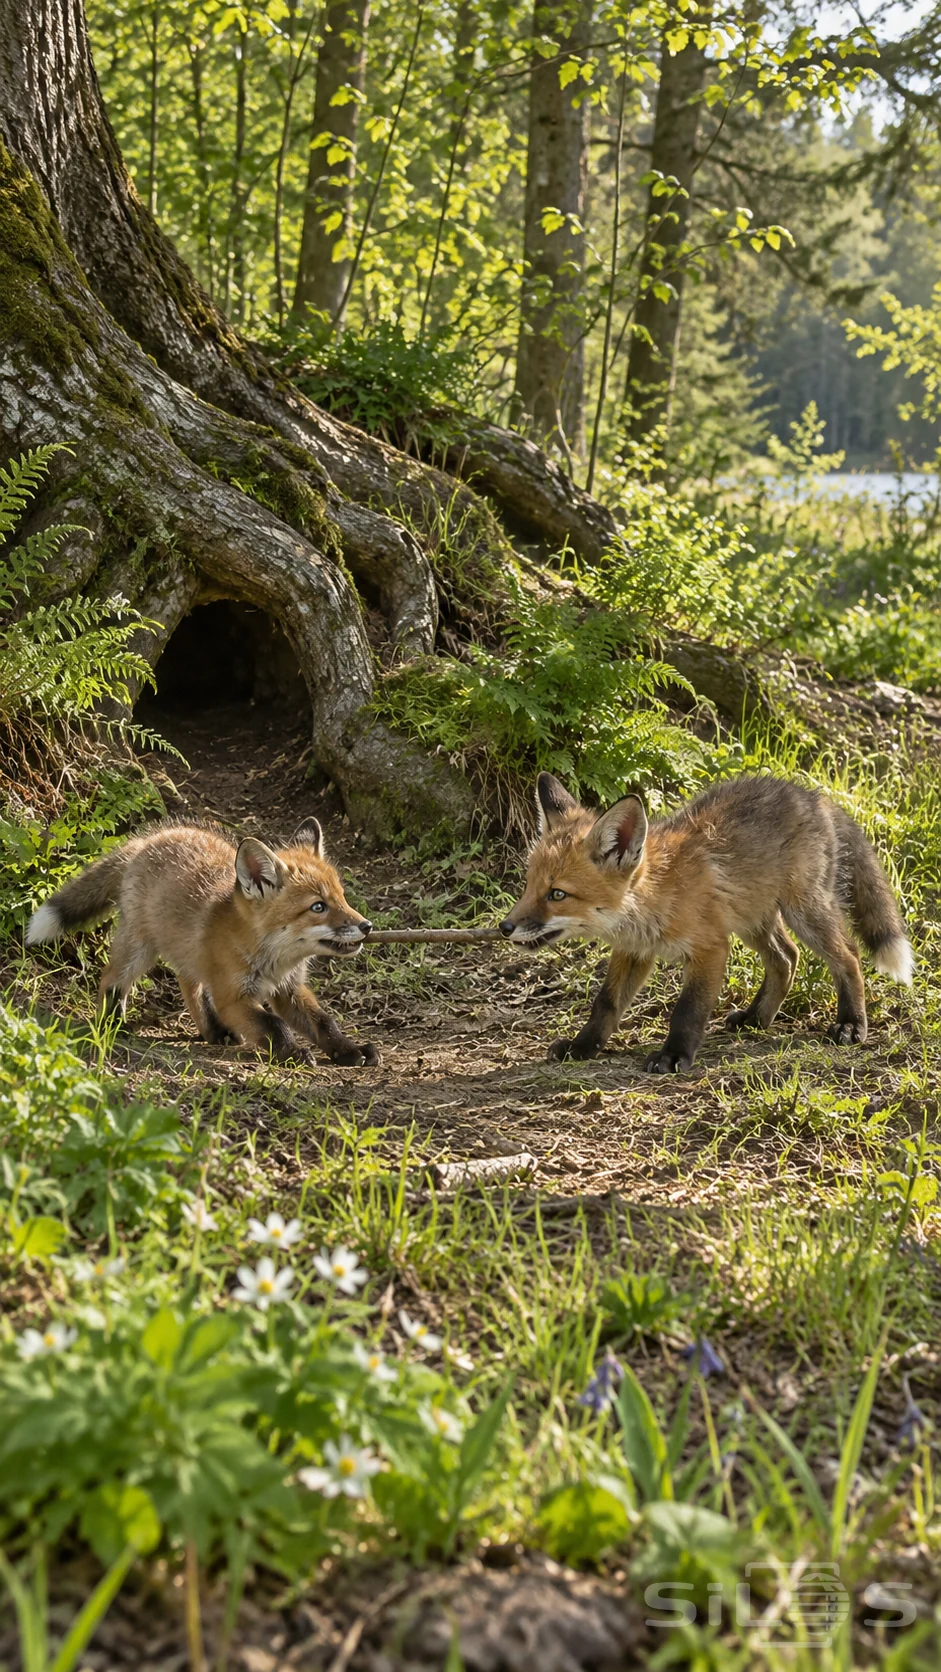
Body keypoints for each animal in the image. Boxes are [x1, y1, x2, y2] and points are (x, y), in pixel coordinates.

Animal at [26, 819, 379, 1065]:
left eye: (341, 898)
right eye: (318, 907)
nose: (367, 926)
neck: (274, 961)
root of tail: (147, 839)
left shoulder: (288, 990)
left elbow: (324, 1022)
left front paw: (349, 1050)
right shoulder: (233, 997)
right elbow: (274, 1024)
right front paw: (292, 1053)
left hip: (188, 953)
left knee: (188, 982)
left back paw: (213, 1031)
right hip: (141, 948)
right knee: (111, 978)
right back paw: (111, 1024)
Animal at [499, 773, 913, 1073]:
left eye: (557, 894)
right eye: (529, 885)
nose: (505, 927)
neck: (656, 895)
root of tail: (813, 795)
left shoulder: (710, 947)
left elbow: (688, 1010)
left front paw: (673, 1056)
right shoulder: (634, 951)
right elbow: (606, 1003)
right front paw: (583, 1046)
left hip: (803, 912)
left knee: (848, 956)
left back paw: (851, 1023)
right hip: (752, 919)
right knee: (787, 958)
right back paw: (756, 1018)